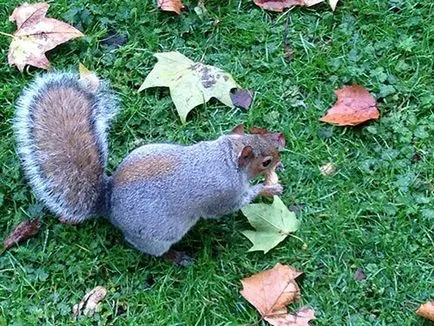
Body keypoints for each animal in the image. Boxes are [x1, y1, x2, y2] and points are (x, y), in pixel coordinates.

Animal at [13, 72, 284, 258]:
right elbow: (234, 203)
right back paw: (178, 257)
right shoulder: (224, 194)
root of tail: (108, 205)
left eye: (256, 135)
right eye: (265, 161)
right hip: (158, 236)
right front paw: (267, 188)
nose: (279, 159)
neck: (226, 157)